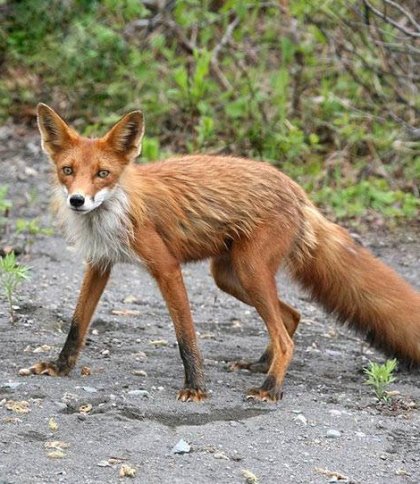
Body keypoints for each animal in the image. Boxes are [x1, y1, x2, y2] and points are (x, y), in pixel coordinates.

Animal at [23, 104, 420, 402]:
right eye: (68, 171)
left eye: (103, 173)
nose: (77, 200)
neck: (116, 210)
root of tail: (298, 192)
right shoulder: (99, 263)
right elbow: (77, 326)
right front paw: (60, 367)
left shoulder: (166, 267)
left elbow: (186, 336)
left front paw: (195, 387)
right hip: (229, 276)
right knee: (291, 318)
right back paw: (261, 365)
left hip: (249, 271)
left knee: (286, 337)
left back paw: (270, 387)